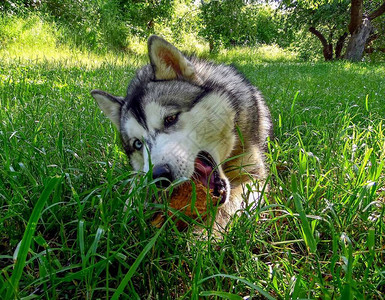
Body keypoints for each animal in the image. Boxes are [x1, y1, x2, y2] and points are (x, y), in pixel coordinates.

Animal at [91, 35, 272, 232]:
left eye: (170, 118)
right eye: (137, 143)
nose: (159, 176)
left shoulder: (253, 175)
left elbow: (229, 207)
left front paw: (204, 234)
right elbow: (135, 185)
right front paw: (127, 211)